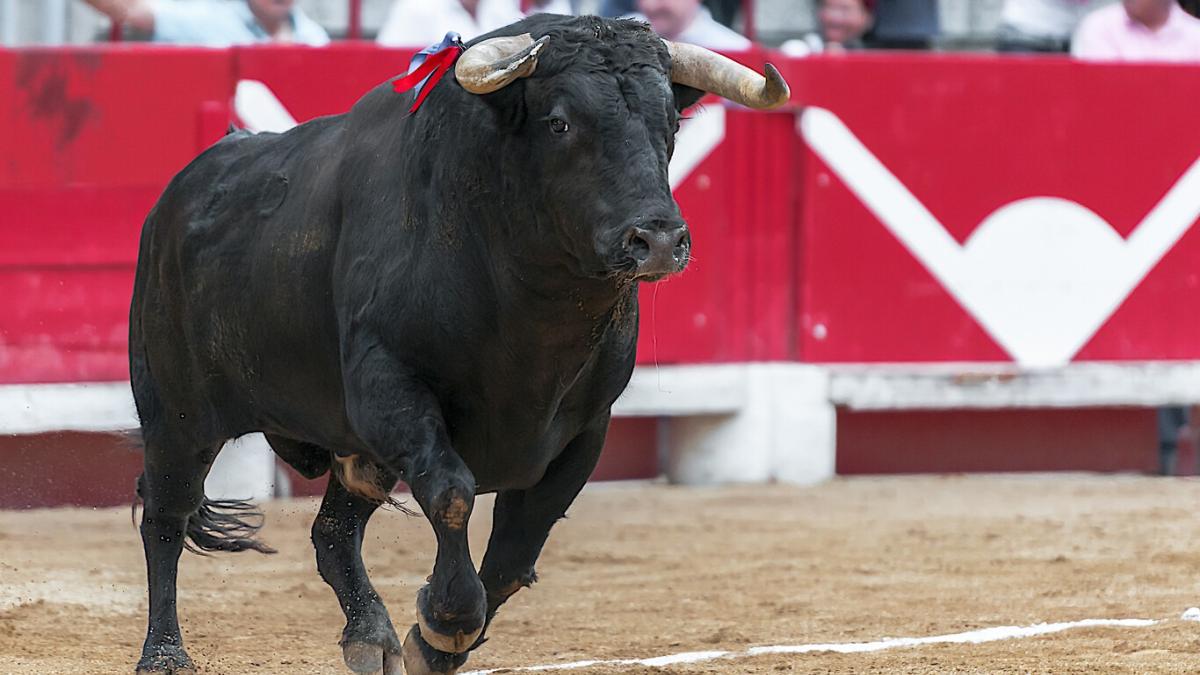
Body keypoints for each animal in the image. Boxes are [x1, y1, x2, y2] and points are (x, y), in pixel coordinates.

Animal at [131, 15, 787, 672]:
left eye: (670, 123)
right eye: (559, 121)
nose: (658, 239)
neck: (535, 315)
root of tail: (179, 193)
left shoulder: (586, 429)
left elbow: (516, 552)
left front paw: (434, 645)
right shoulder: (391, 389)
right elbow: (452, 493)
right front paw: (448, 622)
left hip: (353, 448)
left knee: (334, 532)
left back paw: (371, 636)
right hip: (177, 416)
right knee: (166, 517)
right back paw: (164, 651)